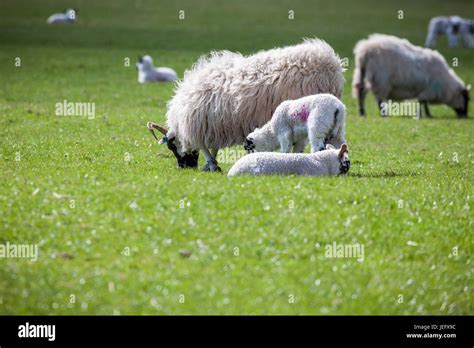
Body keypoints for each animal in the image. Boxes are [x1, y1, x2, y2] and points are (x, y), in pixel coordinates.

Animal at [147, 37, 344, 171]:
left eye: (172, 146)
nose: (184, 167)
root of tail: (331, 63)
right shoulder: (216, 123)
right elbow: (214, 146)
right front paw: (212, 163)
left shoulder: (200, 123)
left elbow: (204, 146)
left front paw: (211, 164)